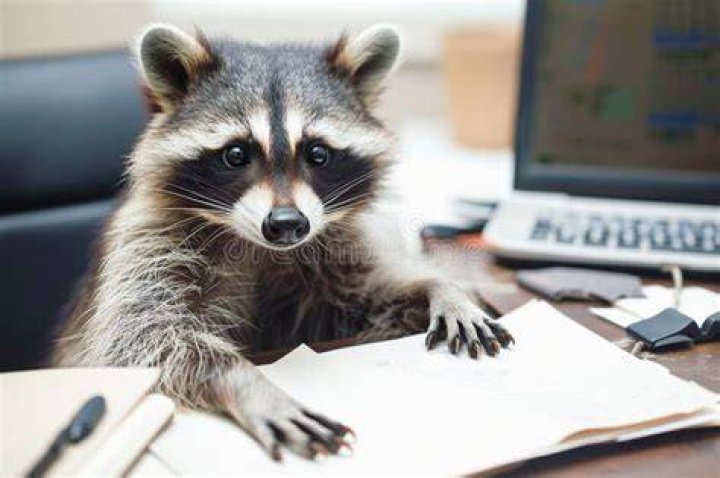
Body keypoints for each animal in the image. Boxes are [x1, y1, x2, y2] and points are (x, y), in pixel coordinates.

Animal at [52, 24, 514, 460]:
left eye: (318, 154)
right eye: (236, 155)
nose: (288, 224)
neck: (258, 246)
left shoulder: (333, 253)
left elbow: (366, 300)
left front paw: (440, 288)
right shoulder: (149, 245)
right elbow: (141, 343)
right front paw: (246, 380)